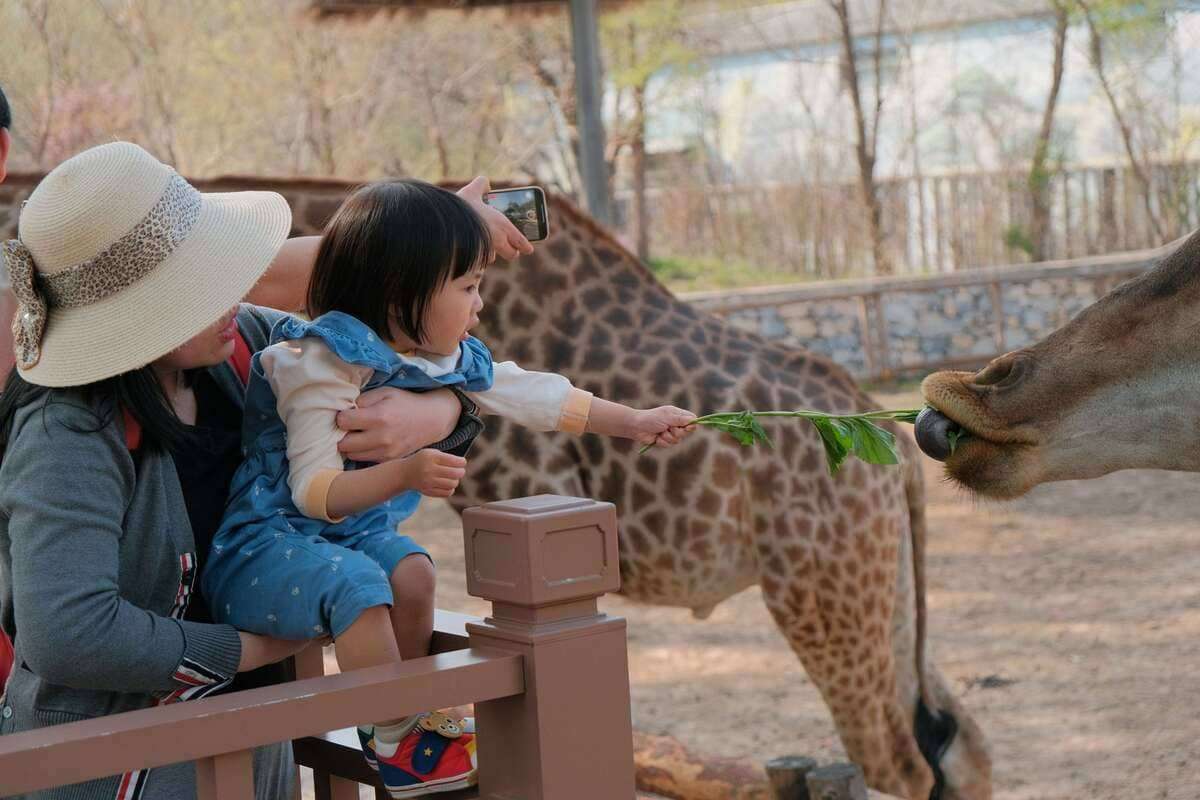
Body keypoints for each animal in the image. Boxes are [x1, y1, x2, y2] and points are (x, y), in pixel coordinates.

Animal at [449, 197, 992, 800]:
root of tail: (893, 440)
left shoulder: (526, 494)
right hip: (881, 578)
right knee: (958, 742)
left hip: (820, 593)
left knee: (896, 761)